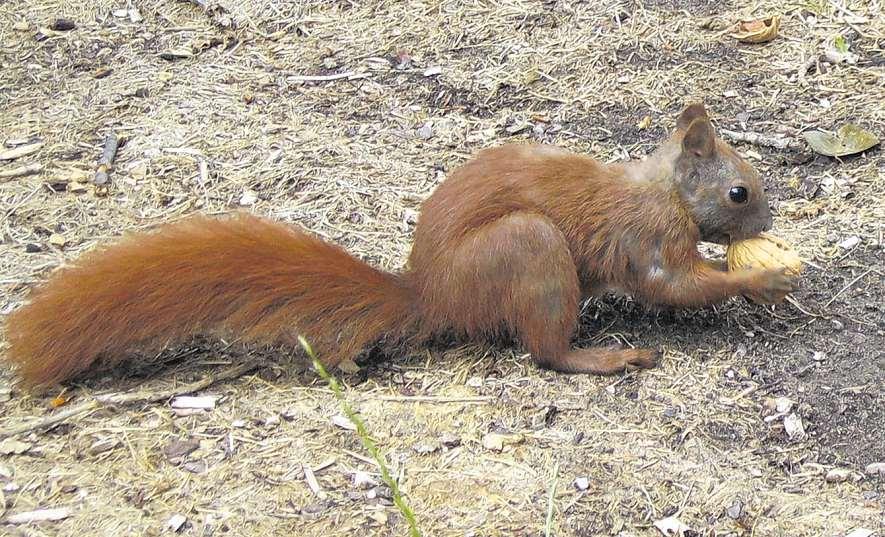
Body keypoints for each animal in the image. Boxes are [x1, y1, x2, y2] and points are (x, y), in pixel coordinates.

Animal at [3, 102, 796, 386]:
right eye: (739, 193)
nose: (764, 223)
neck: (663, 188)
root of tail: (432, 294)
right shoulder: (648, 235)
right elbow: (670, 283)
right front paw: (763, 279)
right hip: (528, 250)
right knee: (545, 351)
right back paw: (605, 355)